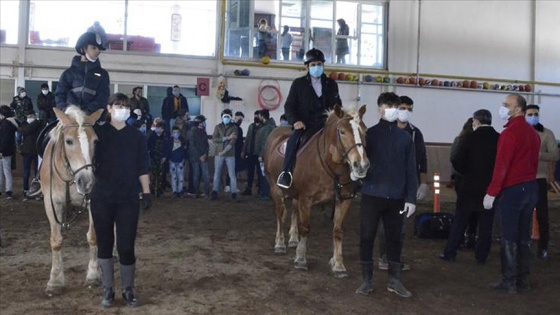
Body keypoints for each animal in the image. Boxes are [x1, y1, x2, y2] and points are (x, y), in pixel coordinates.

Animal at [42, 107, 104, 298]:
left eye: (95, 141)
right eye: (68, 141)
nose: (87, 182)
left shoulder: (93, 201)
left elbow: (93, 236)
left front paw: (93, 274)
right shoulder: (51, 204)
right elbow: (56, 241)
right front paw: (55, 281)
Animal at [264, 105, 370, 278]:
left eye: (364, 130)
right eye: (342, 131)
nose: (361, 165)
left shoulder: (344, 199)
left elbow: (338, 230)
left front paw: (338, 264)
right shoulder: (306, 199)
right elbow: (305, 228)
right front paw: (301, 259)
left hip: (295, 195)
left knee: (293, 210)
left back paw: (293, 239)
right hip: (275, 189)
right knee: (280, 213)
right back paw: (280, 243)